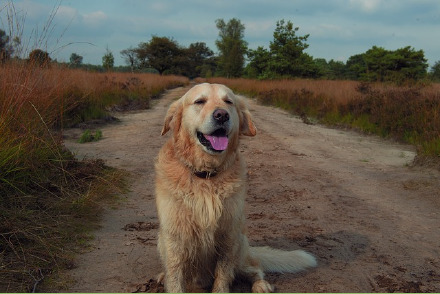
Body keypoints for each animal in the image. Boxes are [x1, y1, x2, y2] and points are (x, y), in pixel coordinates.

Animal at [155, 82, 316, 292]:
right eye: (199, 101)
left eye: (228, 101)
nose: (221, 115)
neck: (206, 176)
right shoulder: (174, 237)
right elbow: (175, 277)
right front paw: (169, 281)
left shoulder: (228, 234)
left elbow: (223, 274)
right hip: (160, 240)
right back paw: (161, 276)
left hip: (240, 244)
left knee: (253, 269)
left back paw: (261, 285)